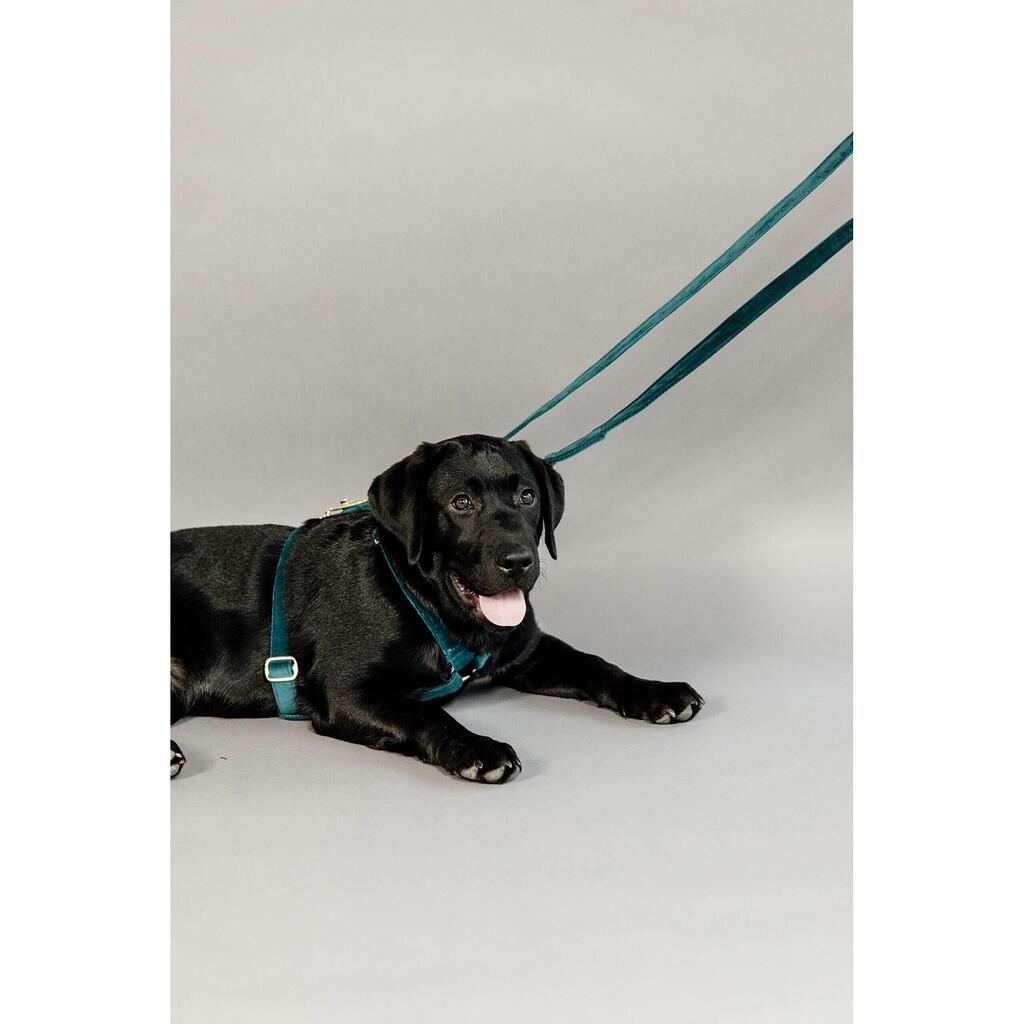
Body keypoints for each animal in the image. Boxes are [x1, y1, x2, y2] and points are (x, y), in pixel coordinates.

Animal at [171, 434, 703, 782]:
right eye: (461, 502)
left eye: (528, 496)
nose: (519, 562)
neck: (428, 604)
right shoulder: (348, 691)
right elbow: (424, 714)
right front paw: (476, 747)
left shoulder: (528, 651)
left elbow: (594, 663)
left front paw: (653, 691)